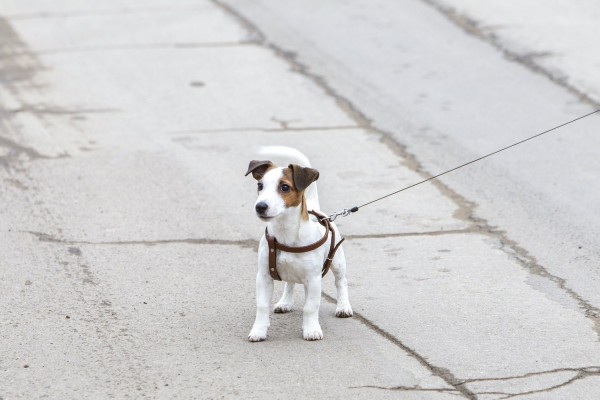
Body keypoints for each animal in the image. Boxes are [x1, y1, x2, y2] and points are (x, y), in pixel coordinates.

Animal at [246, 147, 354, 340]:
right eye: (260, 186)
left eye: (284, 187)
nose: (260, 206)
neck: (285, 233)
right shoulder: (264, 277)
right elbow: (262, 306)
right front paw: (258, 330)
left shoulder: (313, 279)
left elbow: (310, 307)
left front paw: (311, 329)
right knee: (290, 284)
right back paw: (285, 302)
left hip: (338, 262)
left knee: (341, 282)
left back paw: (343, 306)